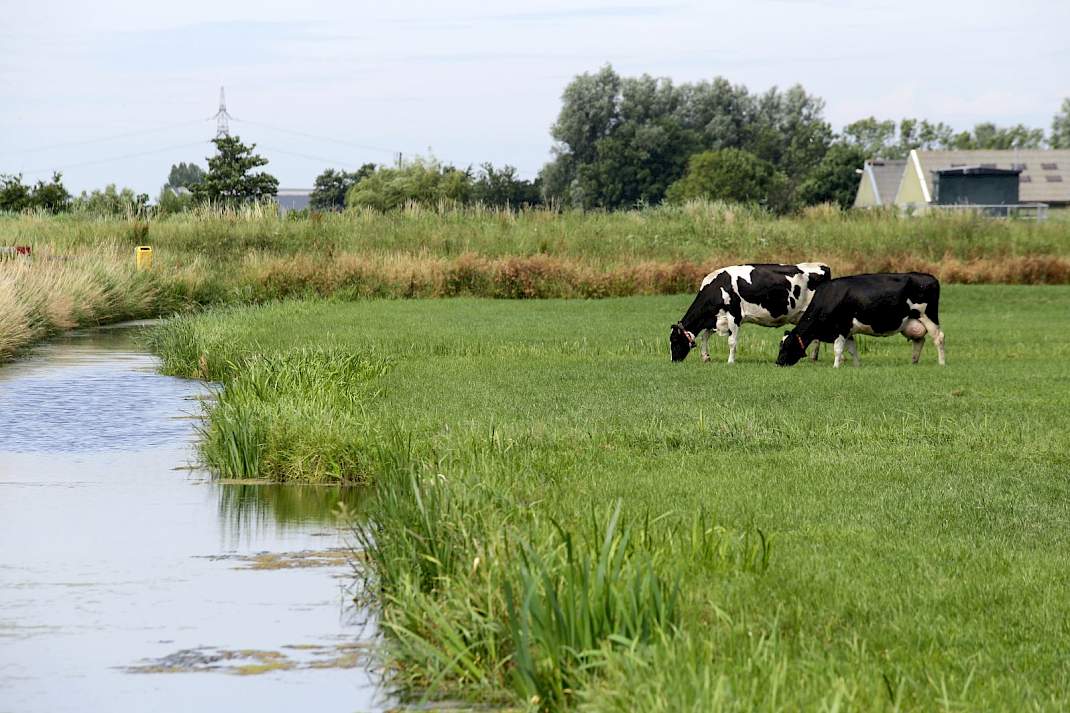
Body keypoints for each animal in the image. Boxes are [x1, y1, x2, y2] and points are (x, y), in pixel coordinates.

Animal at [670, 262, 832, 364]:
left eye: (675, 340)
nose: (673, 361)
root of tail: (821, 265)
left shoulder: (734, 316)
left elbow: (732, 341)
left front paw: (730, 362)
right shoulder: (717, 319)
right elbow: (705, 336)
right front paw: (705, 358)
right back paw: (813, 358)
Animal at [776, 272, 946, 368]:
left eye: (787, 346)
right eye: (780, 345)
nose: (778, 363)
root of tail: (930, 277)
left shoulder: (841, 327)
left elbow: (838, 349)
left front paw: (835, 366)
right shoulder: (848, 331)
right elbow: (852, 349)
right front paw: (857, 365)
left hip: (928, 316)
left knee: (939, 338)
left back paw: (942, 363)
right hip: (912, 321)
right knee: (919, 340)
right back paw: (914, 362)